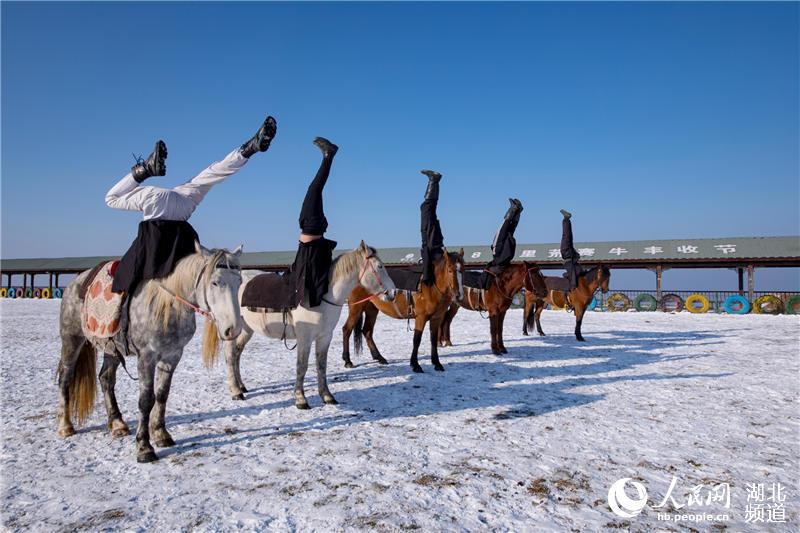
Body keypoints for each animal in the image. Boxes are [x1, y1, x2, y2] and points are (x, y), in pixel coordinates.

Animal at [55, 242, 242, 462]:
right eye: (214, 282)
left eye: (239, 282)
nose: (233, 329)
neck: (168, 305)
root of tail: (74, 283)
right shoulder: (146, 357)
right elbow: (146, 400)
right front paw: (144, 447)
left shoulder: (172, 355)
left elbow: (161, 395)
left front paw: (161, 434)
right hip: (72, 339)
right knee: (66, 379)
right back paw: (65, 426)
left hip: (112, 348)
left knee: (106, 379)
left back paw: (117, 424)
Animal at [222, 241, 396, 408]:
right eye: (380, 266)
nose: (393, 293)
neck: (321, 298)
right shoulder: (305, 338)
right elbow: (302, 366)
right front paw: (301, 399)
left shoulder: (325, 337)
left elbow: (321, 365)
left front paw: (327, 396)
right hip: (234, 329)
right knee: (230, 355)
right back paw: (236, 391)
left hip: (246, 329)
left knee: (237, 353)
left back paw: (241, 386)